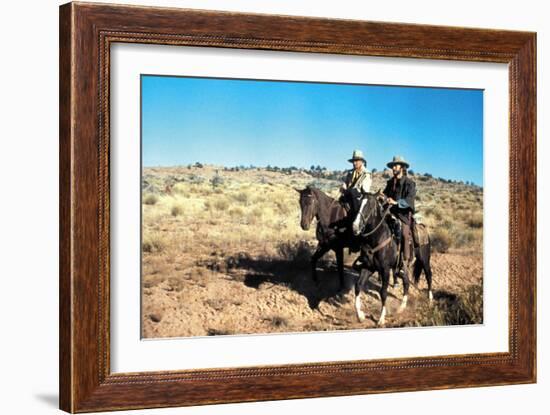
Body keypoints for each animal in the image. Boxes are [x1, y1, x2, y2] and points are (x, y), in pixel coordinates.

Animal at [352, 193, 434, 326]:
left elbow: (383, 292)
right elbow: (358, 286)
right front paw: (360, 315)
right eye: (358, 204)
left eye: (370, 206)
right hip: (403, 267)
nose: (355, 227)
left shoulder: (385, 270)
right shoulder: (368, 267)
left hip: (424, 259)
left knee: (428, 275)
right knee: (406, 282)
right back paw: (402, 307)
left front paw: (381, 319)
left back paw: (430, 299)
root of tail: (424, 229)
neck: (378, 237)